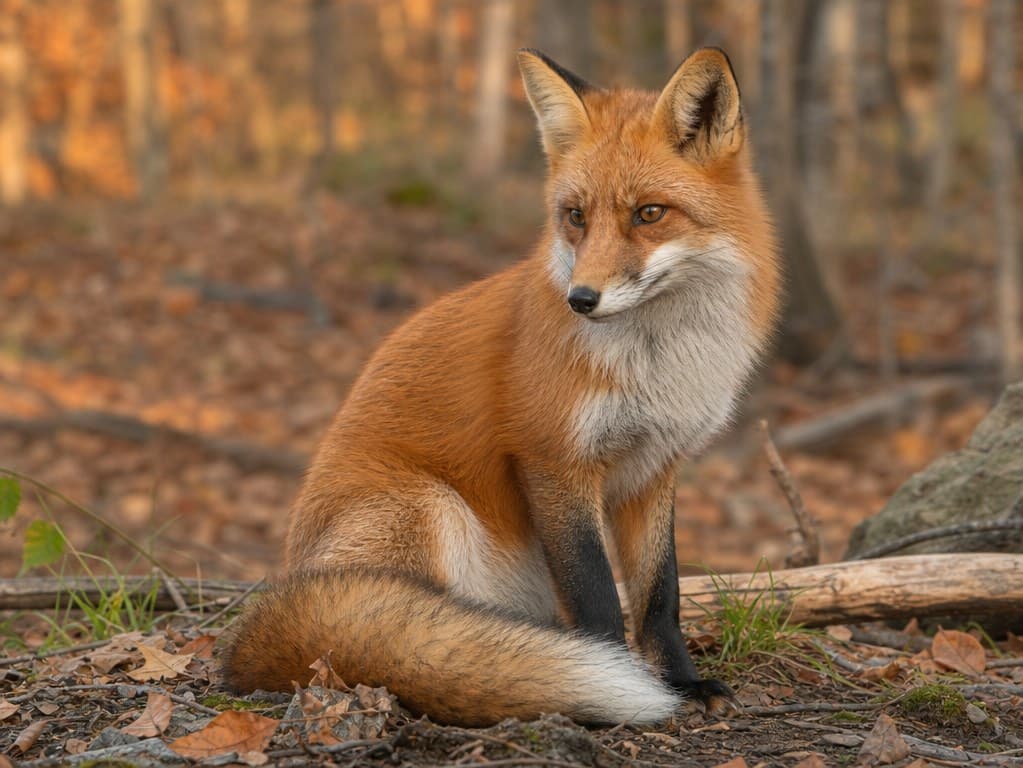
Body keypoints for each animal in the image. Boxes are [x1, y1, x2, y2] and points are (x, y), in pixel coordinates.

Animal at [222, 47, 780, 727]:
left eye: (649, 213)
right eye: (575, 217)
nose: (581, 300)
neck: (659, 364)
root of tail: (288, 582)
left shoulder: (653, 469)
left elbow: (659, 597)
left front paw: (684, 683)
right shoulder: (553, 460)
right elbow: (596, 594)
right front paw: (612, 674)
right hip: (431, 510)